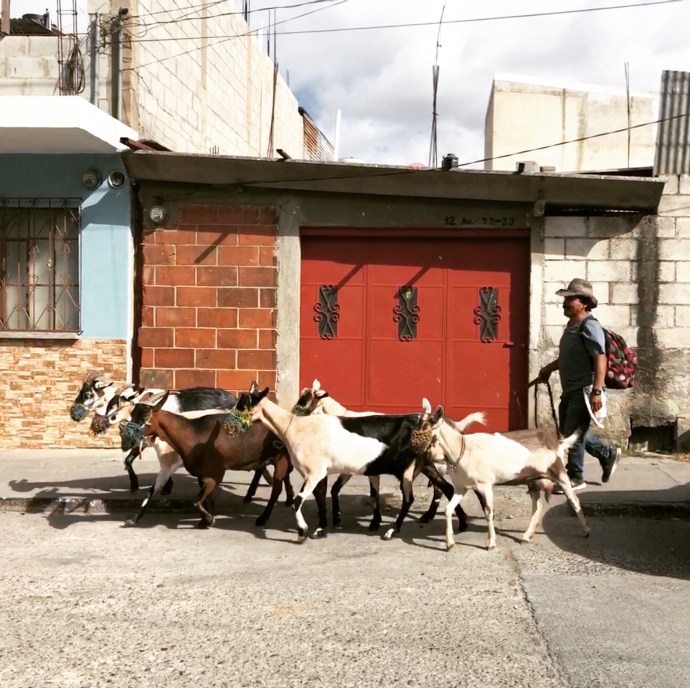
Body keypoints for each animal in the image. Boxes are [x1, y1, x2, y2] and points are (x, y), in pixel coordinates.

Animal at [119, 387, 292, 528]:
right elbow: (153, 491)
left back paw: (263, 517)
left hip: (281, 459)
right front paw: (134, 518)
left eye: (145, 416)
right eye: (132, 414)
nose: (125, 440)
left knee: (277, 488)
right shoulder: (185, 471)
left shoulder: (214, 474)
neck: (194, 433)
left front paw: (208, 519)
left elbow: (196, 501)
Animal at [247, 389, 447, 542]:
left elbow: (308, 497)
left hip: (407, 470)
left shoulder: (319, 471)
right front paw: (324, 526)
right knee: (446, 488)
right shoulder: (327, 471)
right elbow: (325, 495)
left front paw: (306, 530)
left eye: (306, 399)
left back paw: (393, 531)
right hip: (425, 465)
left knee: (410, 498)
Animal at [422, 400, 590, 550]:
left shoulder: (485, 486)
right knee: (537, 506)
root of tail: (557, 442)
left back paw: (586, 531)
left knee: (574, 500)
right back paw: (526, 536)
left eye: (425, 425)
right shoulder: (461, 488)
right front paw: (449, 543)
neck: (463, 449)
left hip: (560, 473)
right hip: (534, 480)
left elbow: (488, 512)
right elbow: (448, 509)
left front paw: (491, 543)